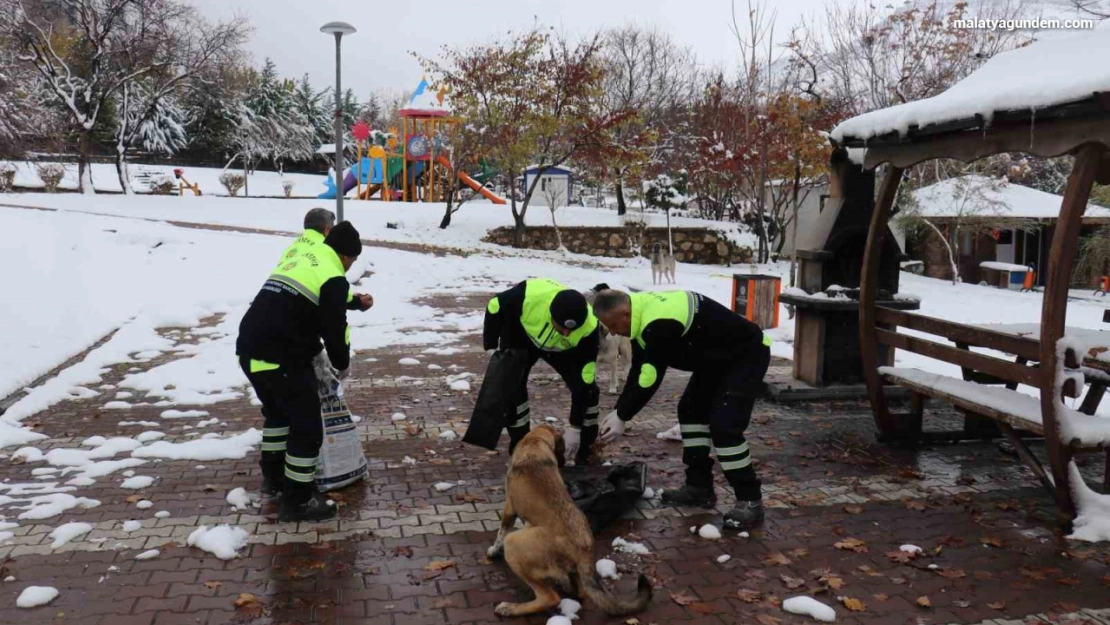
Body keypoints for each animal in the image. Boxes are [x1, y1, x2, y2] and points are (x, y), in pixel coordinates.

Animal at [490, 424, 652, 617]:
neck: (535, 442)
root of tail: (584, 550)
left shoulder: (509, 508)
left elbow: (501, 531)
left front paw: (493, 551)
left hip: (514, 543)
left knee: (549, 598)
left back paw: (510, 608)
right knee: (581, 592)